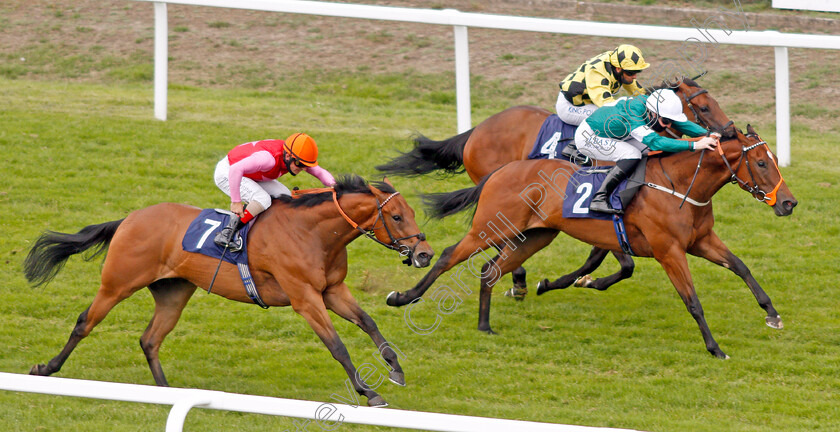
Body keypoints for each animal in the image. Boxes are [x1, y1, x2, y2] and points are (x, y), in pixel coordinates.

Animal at [24, 176, 434, 408]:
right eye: (397, 216)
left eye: (412, 213)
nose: (425, 254)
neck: (313, 233)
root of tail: (129, 218)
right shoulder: (305, 298)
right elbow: (338, 347)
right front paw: (369, 393)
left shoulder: (332, 289)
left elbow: (369, 322)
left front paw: (395, 369)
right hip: (117, 283)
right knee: (85, 322)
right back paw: (45, 368)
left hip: (174, 292)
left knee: (150, 339)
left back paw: (166, 393)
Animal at [378, 77, 740, 298]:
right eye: (703, 107)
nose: (729, 131)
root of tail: (477, 130)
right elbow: (621, 263)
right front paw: (574, 281)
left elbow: (612, 261)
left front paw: (581, 280)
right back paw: (517, 280)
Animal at [388, 126, 796, 360]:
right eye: (761, 163)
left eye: (775, 159)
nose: (789, 203)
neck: (679, 185)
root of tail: (502, 170)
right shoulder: (669, 251)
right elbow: (692, 301)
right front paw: (715, 348)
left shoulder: (702, 240)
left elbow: (741, 267)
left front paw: (772, 314)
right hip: (490, 227)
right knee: (447, 257)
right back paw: (403, 297)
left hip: (535, 235)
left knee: (490, 270)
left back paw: (485, 326)